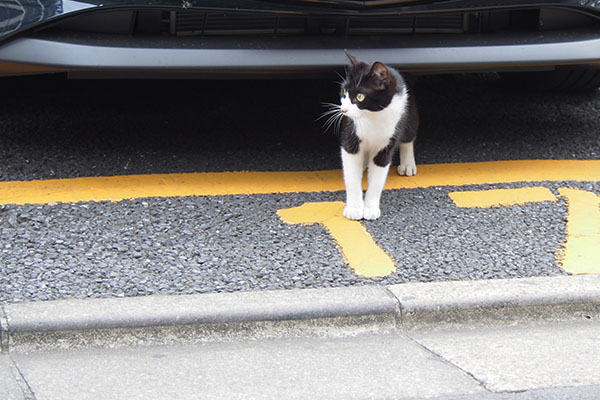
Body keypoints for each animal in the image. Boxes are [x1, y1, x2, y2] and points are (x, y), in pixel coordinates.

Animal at [326, 51, 420, 220]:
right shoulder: (350, 133)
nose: (343, 110)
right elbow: (351, 176)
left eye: (360, 97)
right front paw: (354, 208)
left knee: (408, 137)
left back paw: (408, 164)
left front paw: (370, 208)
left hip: (409, 114)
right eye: (344, 92)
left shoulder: (387, 141)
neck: (372, 117)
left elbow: (378, 178)